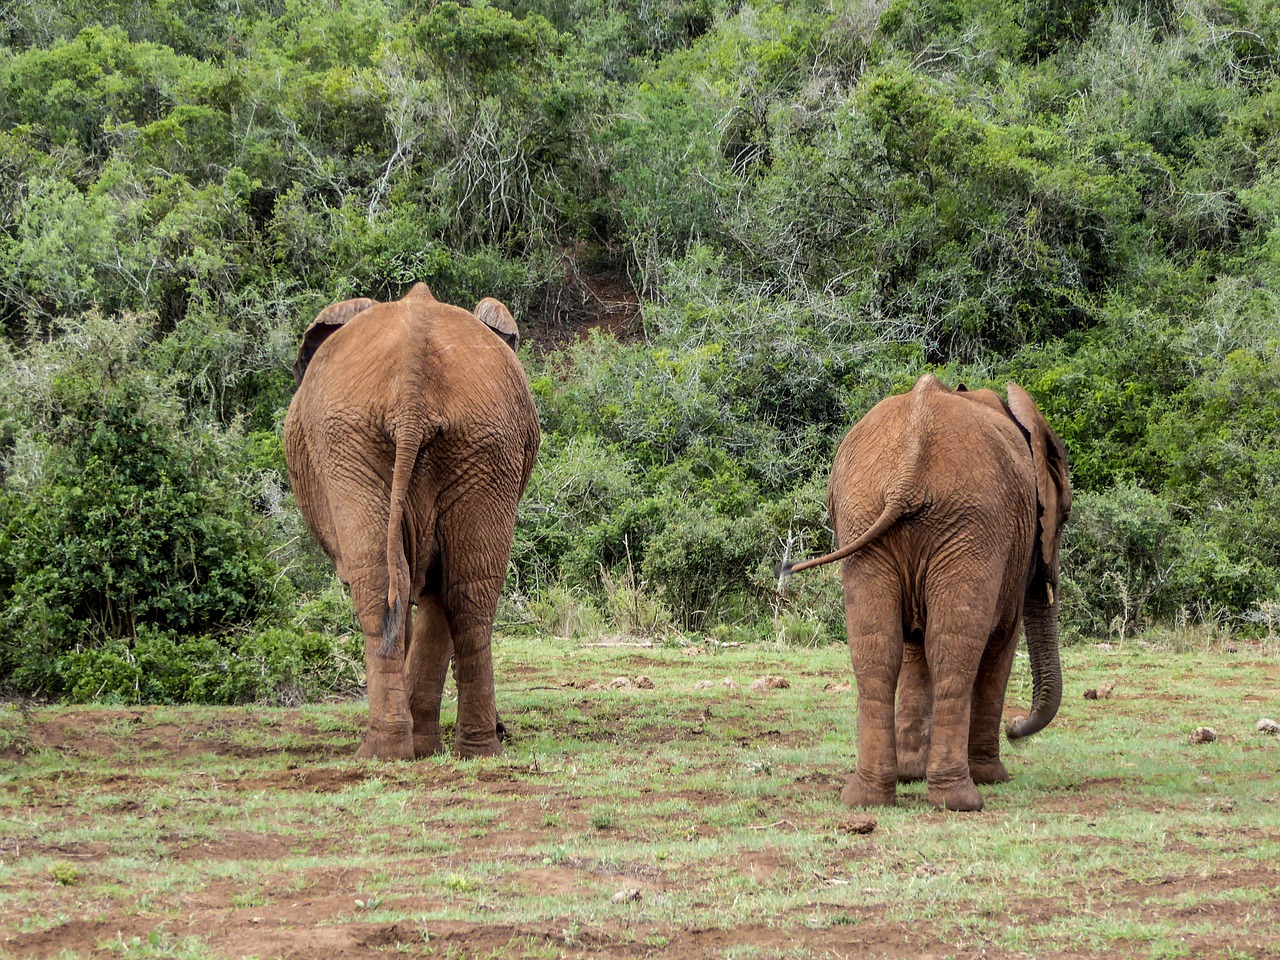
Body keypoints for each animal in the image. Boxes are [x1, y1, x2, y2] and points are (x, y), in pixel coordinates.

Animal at [282, 281, 537, 762]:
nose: (507, 727)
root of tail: (413, 383)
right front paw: (426, 745)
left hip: (349, 446)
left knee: (381, 585)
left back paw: (381, 750)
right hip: (485, 442)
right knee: (468, 589)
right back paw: (477, 750)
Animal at [778, 376, 1070, 814]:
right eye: (1064, 516)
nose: (1016, 728)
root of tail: (910, 467)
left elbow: (913, 647)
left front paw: (911, 773)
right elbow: (1001, 638)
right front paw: (993, 778)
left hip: (864, 515)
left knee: (878, 649)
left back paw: (867, 798)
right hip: (973, 524)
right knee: (955, 647)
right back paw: (961, 799)